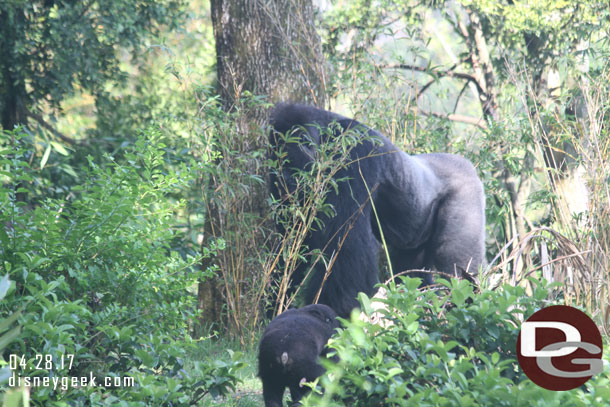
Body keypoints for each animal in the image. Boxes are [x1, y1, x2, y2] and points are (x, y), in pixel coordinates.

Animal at [268, 103, 482, 318]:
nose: (283, 180)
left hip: (467, 194)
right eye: (275, 160)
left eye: (288, 161)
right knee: (412, 271)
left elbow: (348, 249)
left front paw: (335, 311)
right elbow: (293, 244)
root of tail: (469, 166)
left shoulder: (352, 154)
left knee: (457, 267)